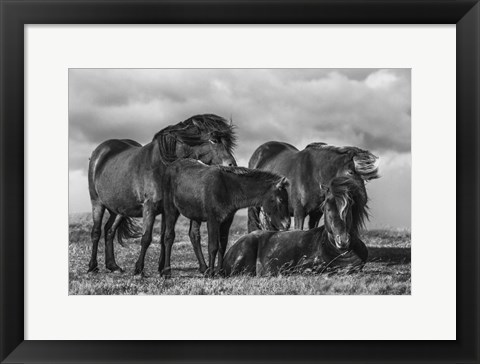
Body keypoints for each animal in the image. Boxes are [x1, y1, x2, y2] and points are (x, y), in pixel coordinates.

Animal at [87, 114, 237, 272]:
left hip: (119, 209)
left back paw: (113, 266)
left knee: (109, 230)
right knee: (96, 232)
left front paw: (162, 268)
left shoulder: (168, 210)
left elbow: (166, 237)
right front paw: (139, 269)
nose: (232, 164)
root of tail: (100, 151)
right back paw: (93, 266)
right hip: (97, 202)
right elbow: (146, 238)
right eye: (214, 140)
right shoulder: (150, 207)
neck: (161, 167)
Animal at [161, 159, 290, 276]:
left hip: (194, 214)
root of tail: (170, 166)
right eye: (281, 199)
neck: (228, 189)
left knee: (194, 235)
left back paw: (203, 268)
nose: (287, 224)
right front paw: (211, 274)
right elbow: (213, 246)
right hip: (170, 208)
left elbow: (222, 245)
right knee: (169, 236)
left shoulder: (227, 220)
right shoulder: (213, 220)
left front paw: (219, 272)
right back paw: (167, 271)